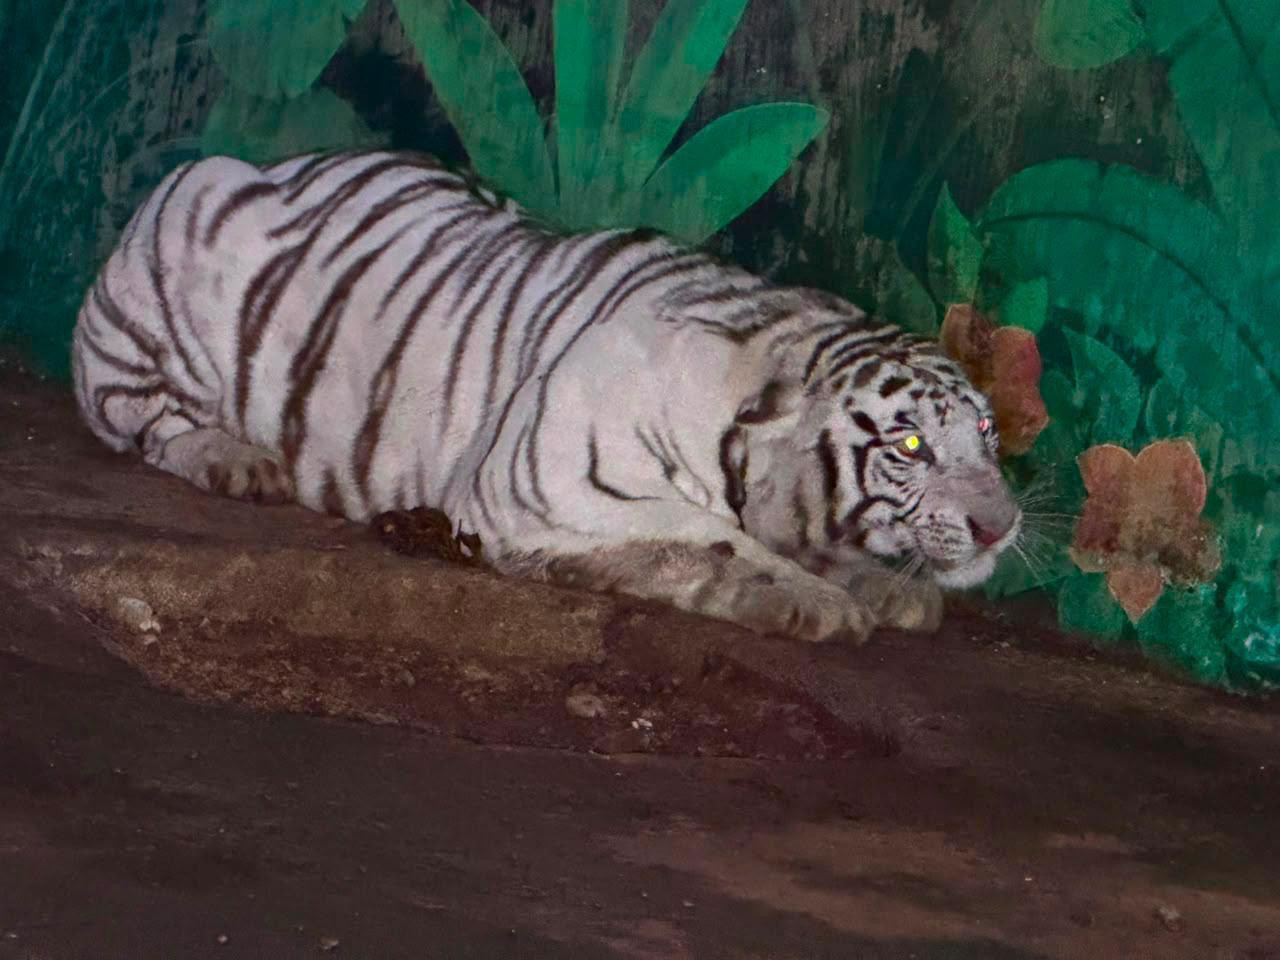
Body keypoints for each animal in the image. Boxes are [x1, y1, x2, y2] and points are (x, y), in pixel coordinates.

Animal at [71, 150, 1021, 645]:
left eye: (985, 430)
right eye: (909, 446)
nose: (1000, 527)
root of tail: (273, 161)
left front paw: (883, 584)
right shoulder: (550, 483)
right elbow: (710, 539)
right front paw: (817, 601)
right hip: (177, 240)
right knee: (142, 419)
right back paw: (235, 459)